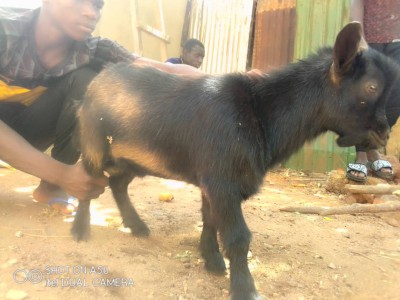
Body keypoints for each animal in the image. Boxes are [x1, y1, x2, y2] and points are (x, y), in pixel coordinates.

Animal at [73, 23, 398, 300]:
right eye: (370, 87)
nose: (384, 134)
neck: (259, 112)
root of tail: (101, 77)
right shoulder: (222, 180)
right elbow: (238, 237)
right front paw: (245, 288)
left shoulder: (213, 180)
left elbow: (209, 219)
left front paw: (212, 260)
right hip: (93, 143)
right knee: (88, 184)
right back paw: (80, 230)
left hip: (132, 159)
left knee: (117, 183)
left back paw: (137, 226)